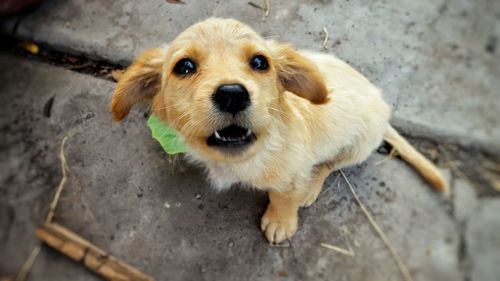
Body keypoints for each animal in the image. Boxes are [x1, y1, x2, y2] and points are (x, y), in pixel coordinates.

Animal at [110, 17, 450, 243]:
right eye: (184, 67)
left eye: (260, 62)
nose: (232, 94)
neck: (252, 155)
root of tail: (381, 103)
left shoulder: (292, 176)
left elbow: (283, 198)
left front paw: (281, 221)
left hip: (359, 145)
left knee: (330, 165)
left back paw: (312, 187)